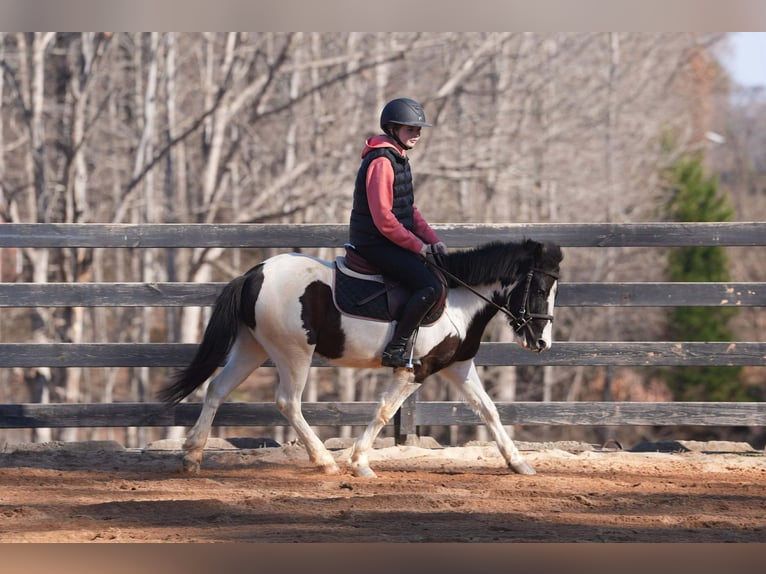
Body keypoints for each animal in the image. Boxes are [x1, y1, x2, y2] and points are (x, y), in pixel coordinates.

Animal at [159, 238, 563, 478]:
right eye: (541, 288)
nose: (542, 342)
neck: (459, 302)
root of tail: (253, 274)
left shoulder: (458, 368)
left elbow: (488, 410)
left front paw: (519, 462)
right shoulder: (414, 371)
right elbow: (384, 412)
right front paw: (358, 463)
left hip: (252, 347)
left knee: (217, 389)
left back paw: (192, 456)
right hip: (293, 352)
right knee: (288, 402)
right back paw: (324, 461)